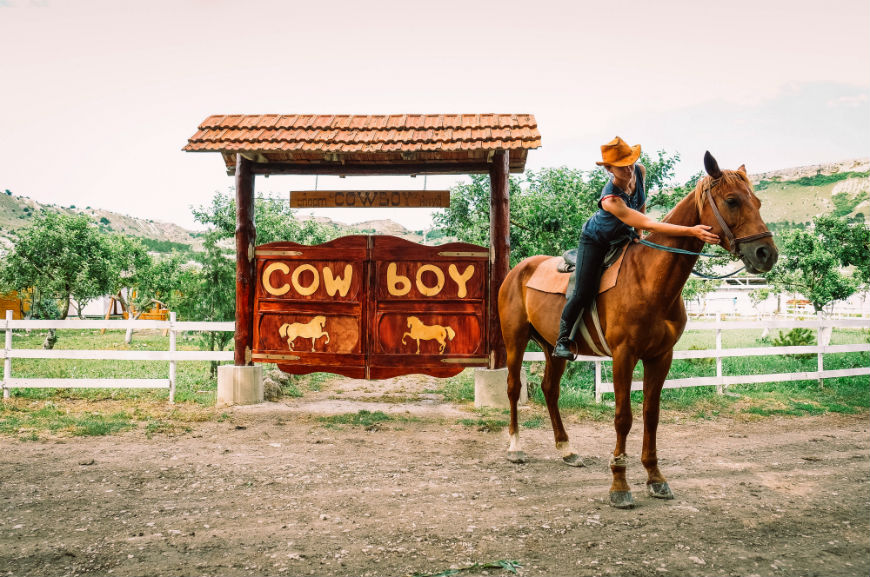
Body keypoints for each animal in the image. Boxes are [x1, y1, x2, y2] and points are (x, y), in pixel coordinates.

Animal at [500, 152, 780, 508]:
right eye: (732, 200)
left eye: (757, 201)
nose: (766, 254)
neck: (650, 279)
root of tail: (518, 270)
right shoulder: (624, 356)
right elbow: (623, 417)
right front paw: (619, 485)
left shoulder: (660, 356)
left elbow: (651, 414)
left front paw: (655, 477)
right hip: (515, 340)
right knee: (512, 388)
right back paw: (515, 447)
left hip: (554, 347)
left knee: (550, 389)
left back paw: (567, 449)